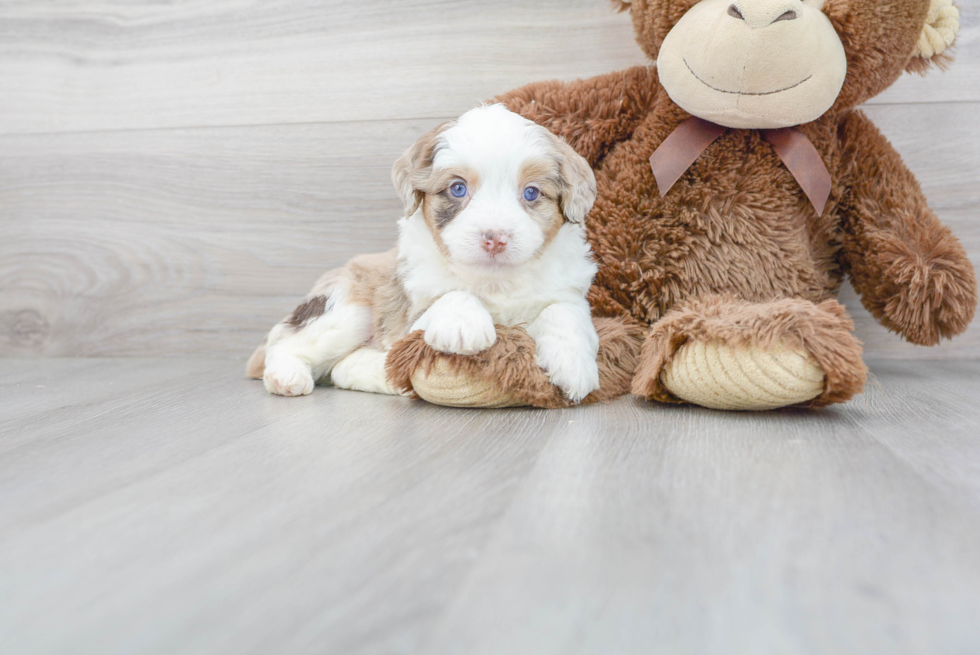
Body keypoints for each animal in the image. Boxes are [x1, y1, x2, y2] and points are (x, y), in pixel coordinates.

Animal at [247, 104, 596, 400]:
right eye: (458, 188)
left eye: (531, 193)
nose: (495, 239)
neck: (494, 281)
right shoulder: (410, 320)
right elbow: (452, 295)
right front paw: (464, 325)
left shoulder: (567, 288)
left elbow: (565, 310)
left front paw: (573, 364)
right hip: (348, 306)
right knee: (285, 344)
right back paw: (286, 376)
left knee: (342, 367)